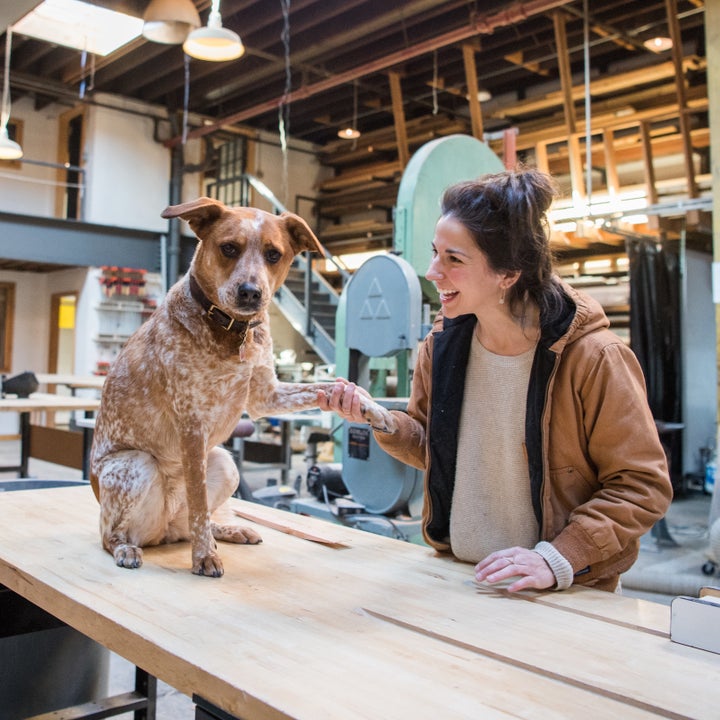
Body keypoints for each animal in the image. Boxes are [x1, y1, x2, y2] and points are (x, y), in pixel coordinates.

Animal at [90, 198, 396, 580]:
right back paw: (128, 548)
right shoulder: (192, 425)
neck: (232, 330)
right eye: (229, 248)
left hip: (225, 462)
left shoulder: (267, 396)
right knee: (116, 533)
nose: (251, 292)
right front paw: (204, 557)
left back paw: (228, 530)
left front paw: (371, 408)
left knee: (191, 523)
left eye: (274, 254)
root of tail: (160, 533)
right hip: (137, 465)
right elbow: (199, 503)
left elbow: (329, 388)